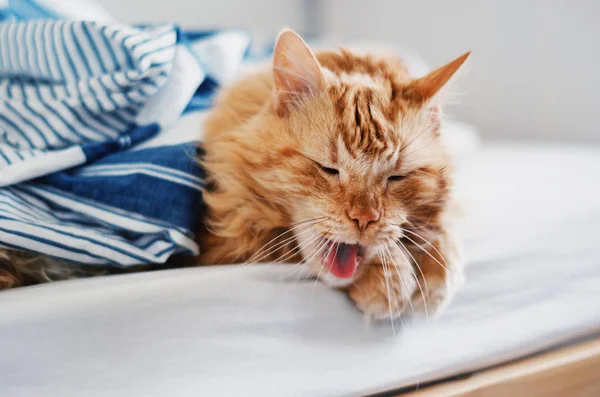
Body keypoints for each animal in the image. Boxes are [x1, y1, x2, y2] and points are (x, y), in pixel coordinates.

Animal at [198, 29, 468, 318]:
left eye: (397, 177)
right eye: (328, 169)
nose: (364, 218)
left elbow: (440, 227)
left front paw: (436, 273)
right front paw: (390, 280)